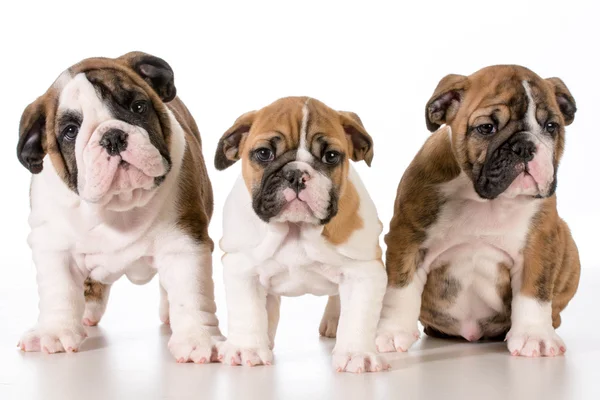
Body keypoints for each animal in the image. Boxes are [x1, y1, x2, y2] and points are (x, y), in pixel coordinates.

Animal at [17, 50, 223, 362]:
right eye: (70, 131)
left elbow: (191, 292)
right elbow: (59, 289)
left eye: (138, 107)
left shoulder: (184, 241)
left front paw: (198, 338)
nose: (112, 137)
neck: (119, 205)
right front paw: (54, 331)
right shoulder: (53, 245)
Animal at [213, 96, 386, 372]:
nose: (295, 174)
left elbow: (358, 315)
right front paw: (246, 349)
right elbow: (248, 312)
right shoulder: (242, 268)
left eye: (331, 156)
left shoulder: (364, 271)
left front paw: (356, 353)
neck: (296, 229)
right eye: (264, 153)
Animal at [378, 65, 580, 356]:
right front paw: (393, 332)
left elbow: (535, 291)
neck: (486, 200)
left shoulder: (540, 243)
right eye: (486, 128)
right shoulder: (407, 239)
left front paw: (535, 336)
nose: (525, 146)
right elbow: (400, 289)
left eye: (551, 126)